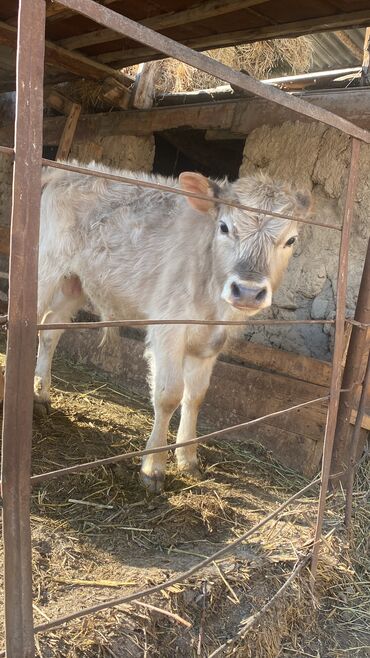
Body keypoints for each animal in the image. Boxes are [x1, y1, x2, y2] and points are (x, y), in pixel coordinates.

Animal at [36, 164, 310, 490]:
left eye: (291, 240)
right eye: (224, 227)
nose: (247, 290)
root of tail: (65, 172)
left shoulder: (211, 343)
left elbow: (196, 396)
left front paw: (188, 459)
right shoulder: (168, 329)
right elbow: (169, 395)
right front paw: (153, 466)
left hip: (74, 282)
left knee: (49, 330)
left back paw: (41, 395)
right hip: (47, 269)